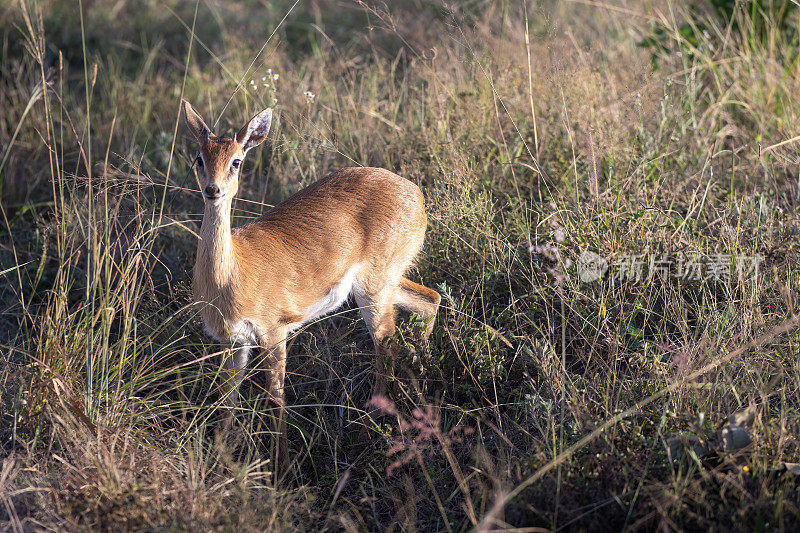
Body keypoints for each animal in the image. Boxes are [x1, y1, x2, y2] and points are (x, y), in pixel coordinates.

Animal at [184, 101, 440, 466]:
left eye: (236, 160)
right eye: (199, 158)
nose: (212, 190)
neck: (232, 275)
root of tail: (416, 193)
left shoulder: (274, 332)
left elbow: (276, 398)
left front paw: (281, 466)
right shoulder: (234, 342)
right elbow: (227, 398)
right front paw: (222, 456)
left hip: (373, 290)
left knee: (386, 343)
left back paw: (371, 422)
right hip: (382, 284)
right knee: (430, 299)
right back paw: (423, 373)